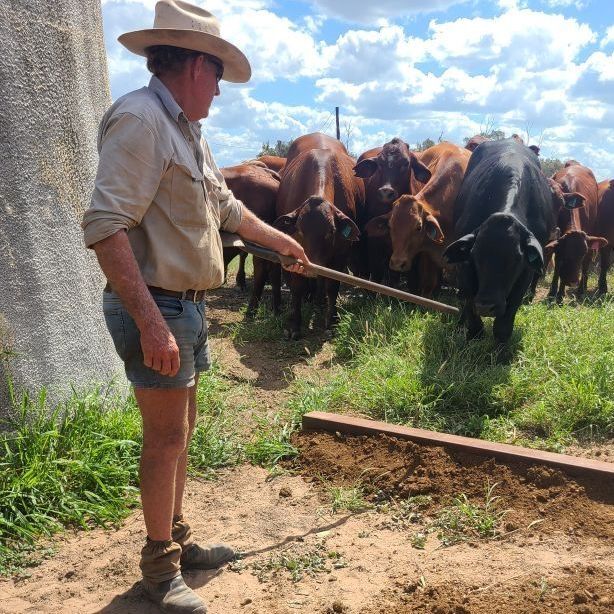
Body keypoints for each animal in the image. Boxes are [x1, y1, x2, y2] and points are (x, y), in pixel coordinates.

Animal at [274, 133, 366, 342]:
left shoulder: (340, 254)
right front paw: (294, 324)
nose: (312, 268)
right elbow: (297, 287)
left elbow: (332, 286)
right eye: (299, 230)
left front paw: (331, 322)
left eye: (331, 231)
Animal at [548, 161, 608, 300]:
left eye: (581, 255)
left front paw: (562, 293)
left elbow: (585, 263)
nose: (572, 282)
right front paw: (554, 292)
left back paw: (581, 290)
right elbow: (558, 265)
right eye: (566, 255)